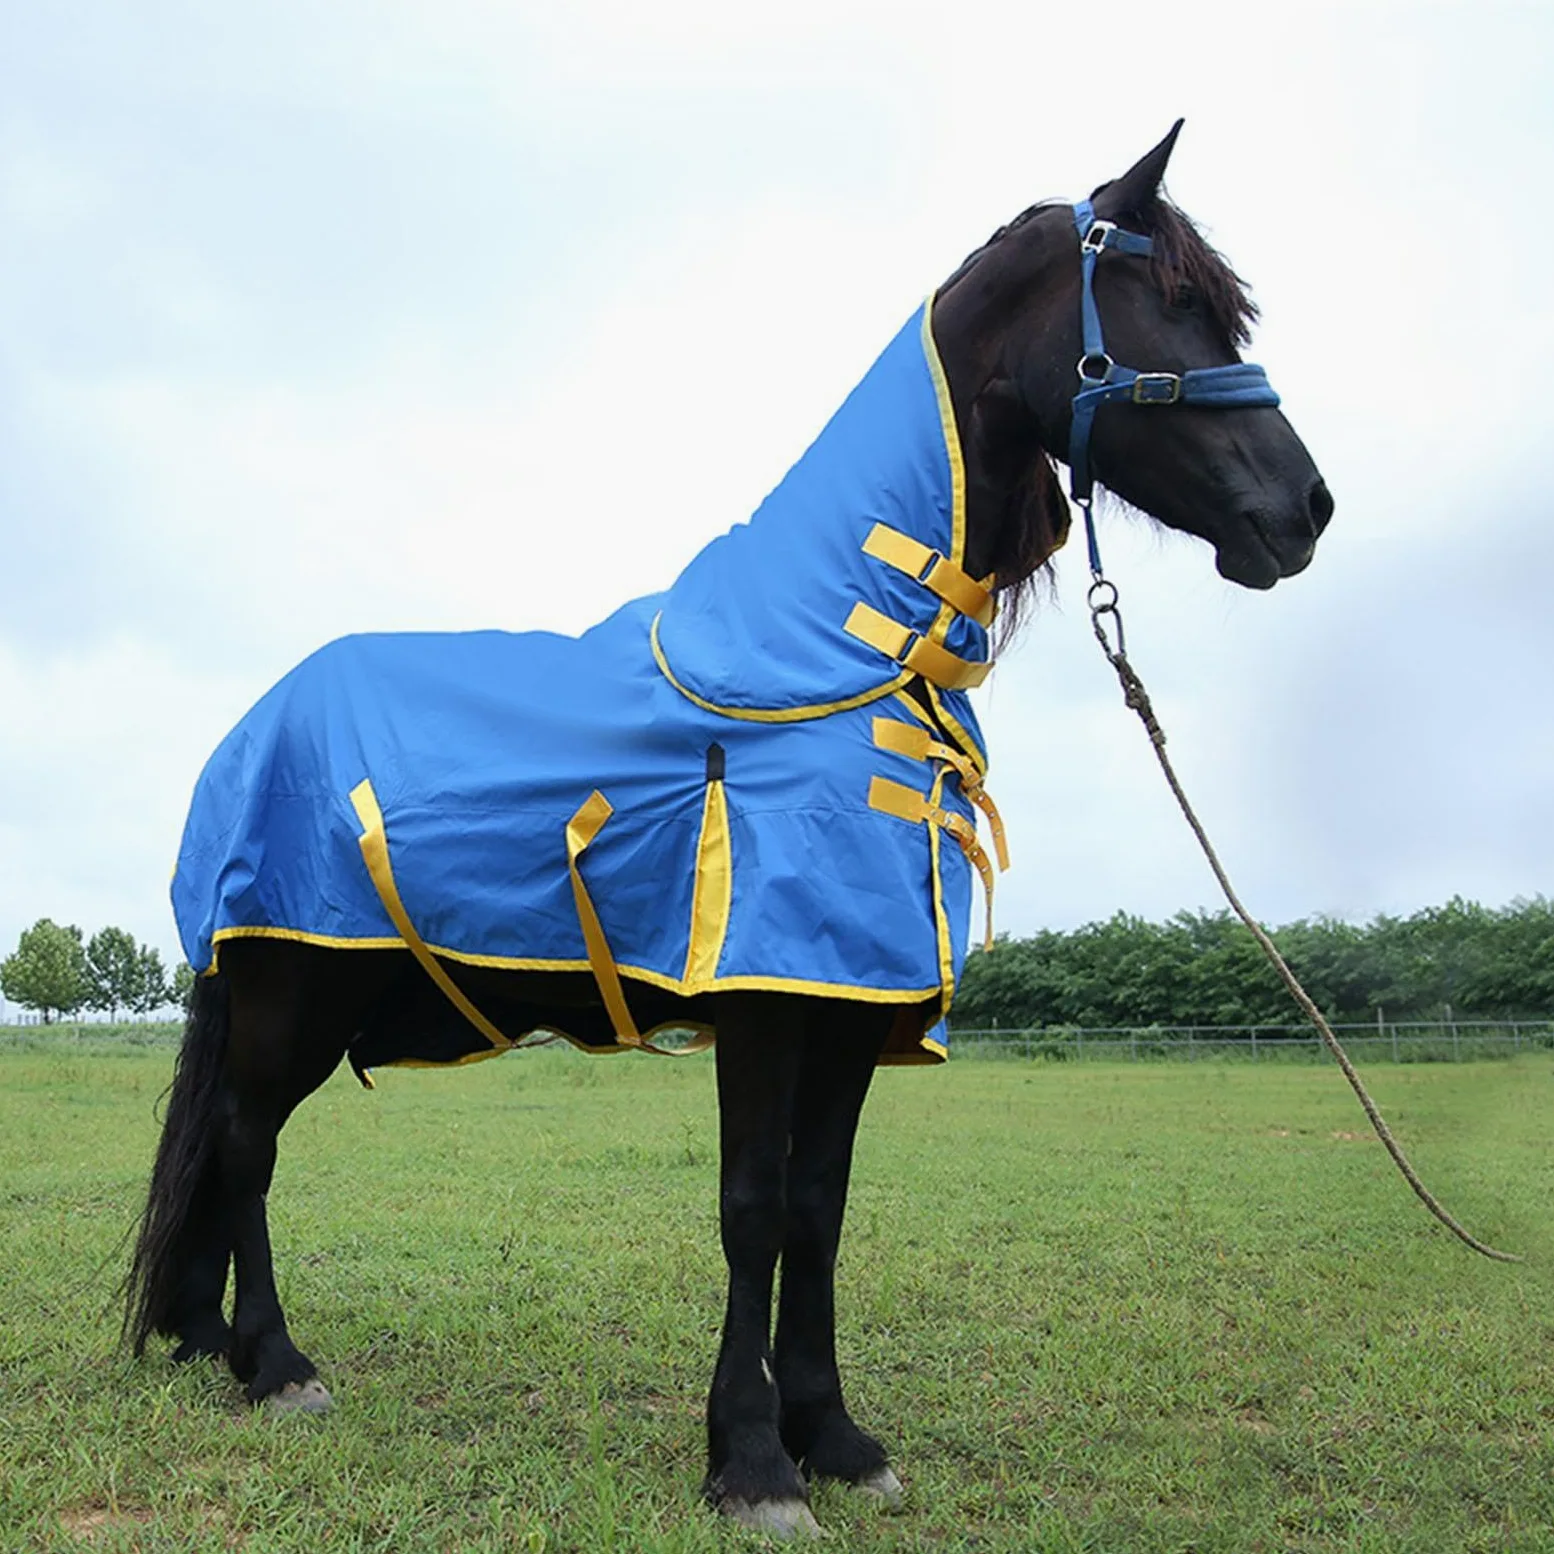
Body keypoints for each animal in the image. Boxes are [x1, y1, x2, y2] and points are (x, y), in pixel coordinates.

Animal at [124, 123, 1331, 1538]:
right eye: (1174, 302)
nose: (1304, 511)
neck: (837, 654)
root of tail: (248, 729)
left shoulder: (854, 1004)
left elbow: (819, 1209)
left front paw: (837, 1437)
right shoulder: (765, 997)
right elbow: (751, 1210)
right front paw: (753, 1462)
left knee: (228, 1155)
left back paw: (211, 1343)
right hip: (288, 990)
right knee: (246, 1148)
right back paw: (276, 1363)